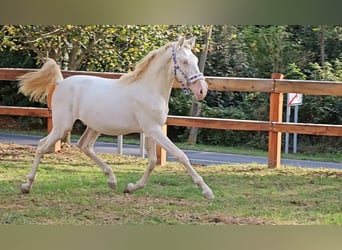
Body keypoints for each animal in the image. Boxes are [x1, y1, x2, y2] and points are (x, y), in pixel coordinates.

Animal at [18, 36, 214, 199]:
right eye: (184, 61)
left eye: (196, 60)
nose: (202, 90)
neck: (149, 89)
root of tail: (60, 83)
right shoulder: (153, 130)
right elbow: (181, 156)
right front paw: (207, 191)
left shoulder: (151, 131)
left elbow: (152, 161)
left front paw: (131, 187)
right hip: (62, 126)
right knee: (42, 145)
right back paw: (26, 185)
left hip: (94, 126)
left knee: (84, 146)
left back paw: (112, 180)